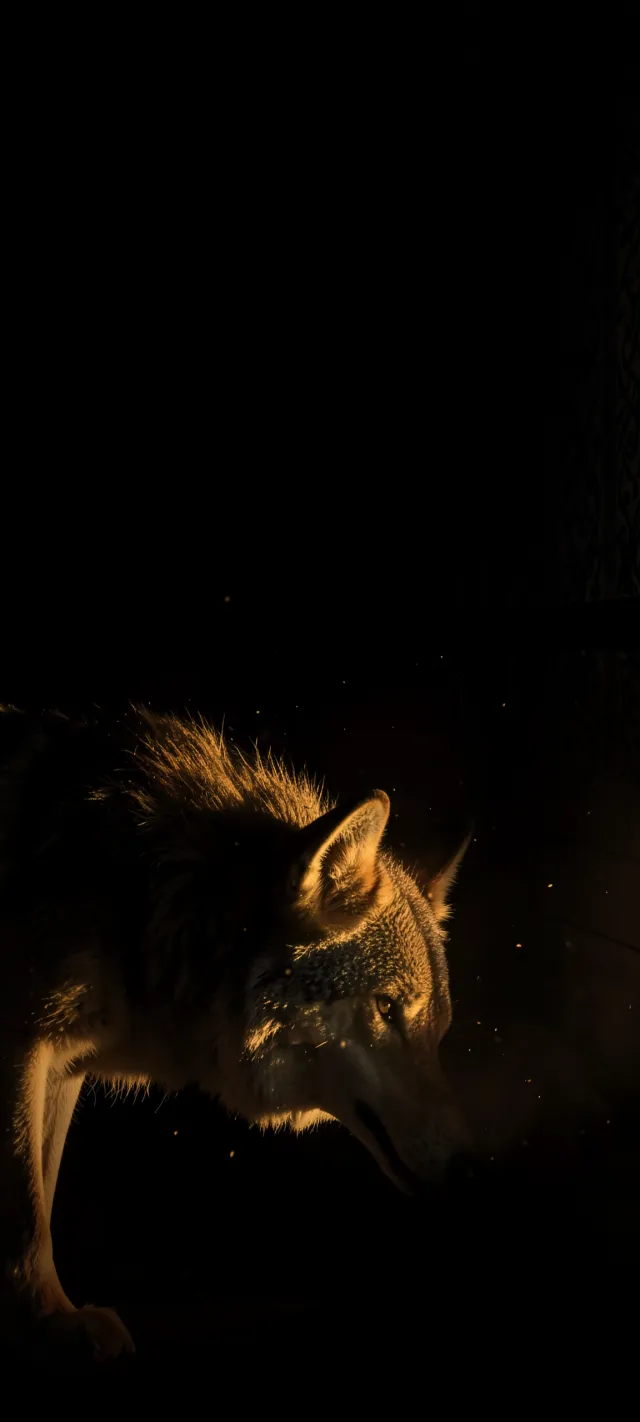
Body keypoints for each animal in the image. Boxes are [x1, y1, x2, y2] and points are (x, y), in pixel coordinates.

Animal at [0, 704, 470, 1360]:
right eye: (385, 1007)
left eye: (437, 1032)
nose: (466, 1167)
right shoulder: (26, 1038)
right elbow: (25, 1207)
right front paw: (47, 1319)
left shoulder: (63, 1060)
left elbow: (40, 1188)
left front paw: (49, 1318)